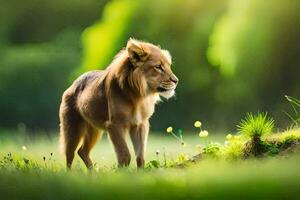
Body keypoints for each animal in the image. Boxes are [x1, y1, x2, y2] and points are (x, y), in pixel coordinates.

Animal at [59, 38, 179, 169]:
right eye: (158, 67)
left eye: (168, 66)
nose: (176, 80)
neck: (139, 96)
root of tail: (73, 84)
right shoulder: (115, 125)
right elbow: (125, 154)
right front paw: (121, 172)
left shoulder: (140, 124)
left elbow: (140, 156)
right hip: (72, 128)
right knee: (69, 154)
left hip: (94, 130)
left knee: (82, 151)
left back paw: (94, 172)